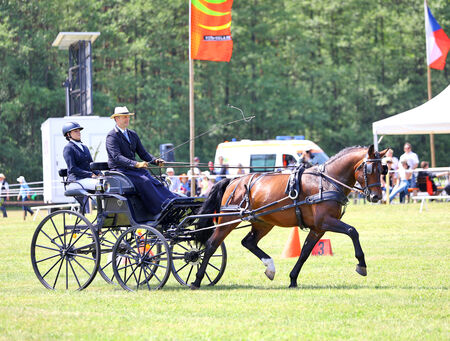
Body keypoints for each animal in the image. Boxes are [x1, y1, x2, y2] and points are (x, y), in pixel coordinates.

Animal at [190, 143, 386, 286]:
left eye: (383, 169)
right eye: (370, 169)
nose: (376, 196)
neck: (327, 182)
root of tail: (234, 180)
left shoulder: (318, 228)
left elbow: (305, 252)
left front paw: (293, 279)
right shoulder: (325, 222)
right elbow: (353, 231)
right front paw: (361, 264)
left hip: (263, 222)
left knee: (248, 242)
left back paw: (270, 267)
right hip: (228, 220)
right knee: (211, 245)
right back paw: (197, 279)